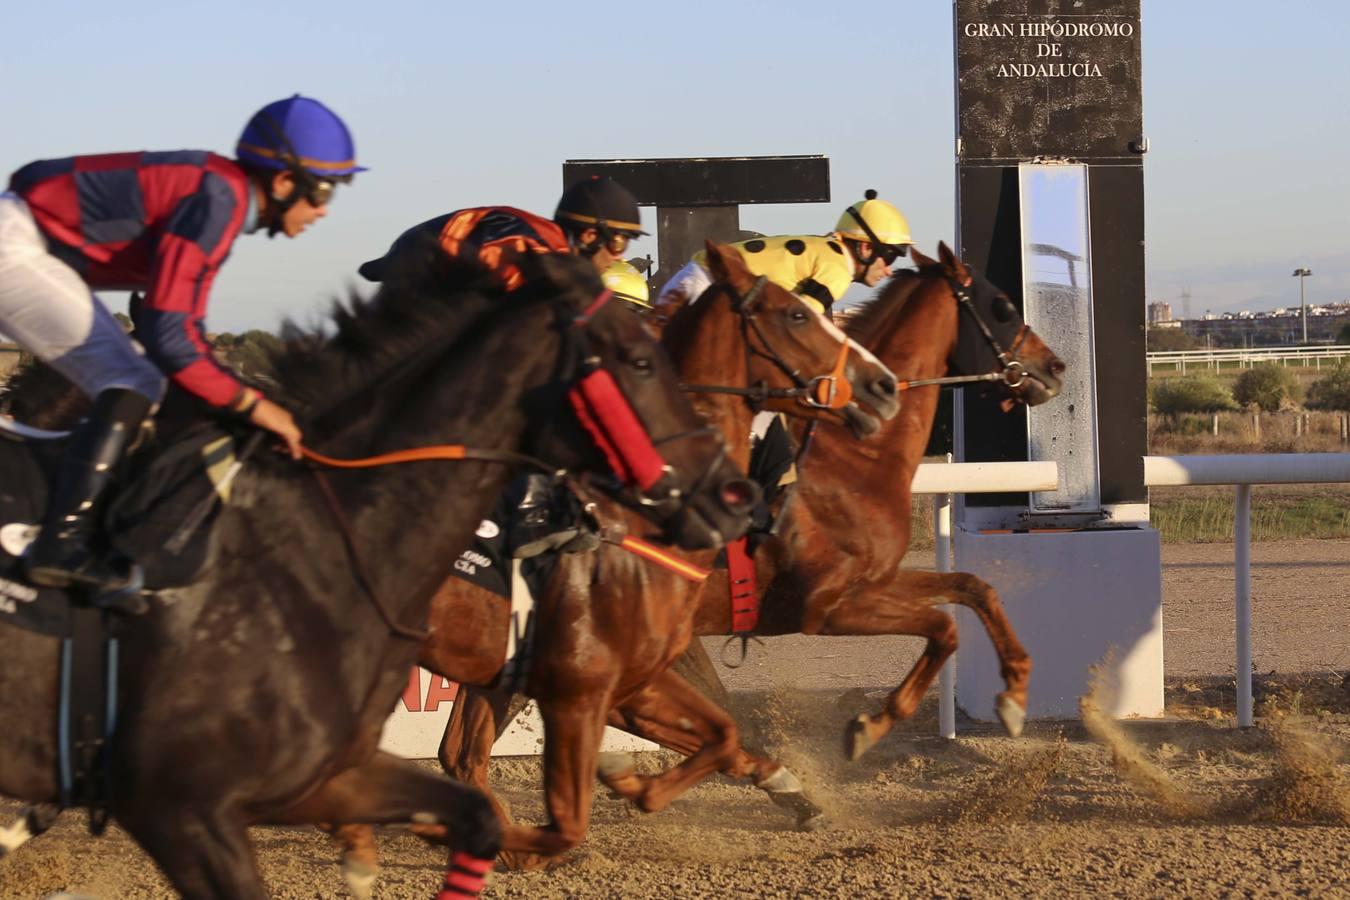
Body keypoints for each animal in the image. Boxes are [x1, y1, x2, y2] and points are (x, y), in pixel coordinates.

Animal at [328, 241, 901, 885]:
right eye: (797, 315)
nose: (882, 386)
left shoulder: (631, 671)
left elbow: (722, 732)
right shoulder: (589, 677)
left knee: (455, 755)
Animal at [448, 241, 1069, 836]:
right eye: (1002, 305)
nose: (1055, 365)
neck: (856, 455)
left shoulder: (875, 580)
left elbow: (972, 587)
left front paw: (1014, 697)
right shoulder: (827, 607)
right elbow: (943, 627)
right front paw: (868, 727)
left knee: (469, 749)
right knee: (475, 752)